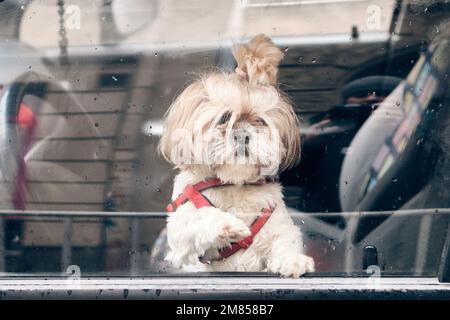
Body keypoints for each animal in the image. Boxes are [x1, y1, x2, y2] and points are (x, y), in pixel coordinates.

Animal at [160, 33, 314, 276]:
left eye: (260, 121)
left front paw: (292, 260)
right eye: (224, 118)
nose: (242, 134)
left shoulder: (277, 223)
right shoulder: (179, 233)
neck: (233, 184)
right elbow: (200, 217)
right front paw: (227, 225)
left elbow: (286, 239)